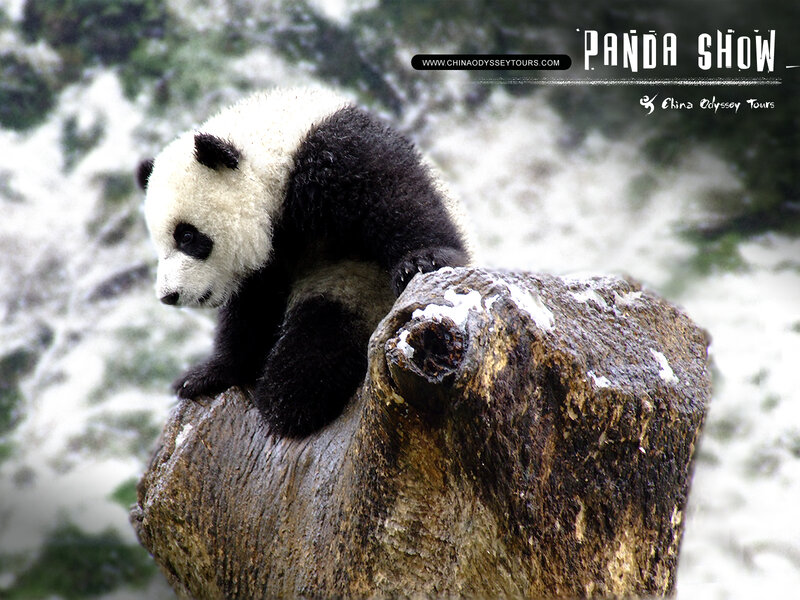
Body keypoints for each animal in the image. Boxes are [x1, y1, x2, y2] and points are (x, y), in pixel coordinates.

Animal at [137, 87, 470, 437]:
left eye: (187, 236)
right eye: (161, 245)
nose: (169, 295)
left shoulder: (337, 156)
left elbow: (398, 198)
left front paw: (422, 261)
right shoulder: (270, 260)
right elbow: (251, 311)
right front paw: (205, 375)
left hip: (359, 287)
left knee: (320, 337)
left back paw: (292, 396)